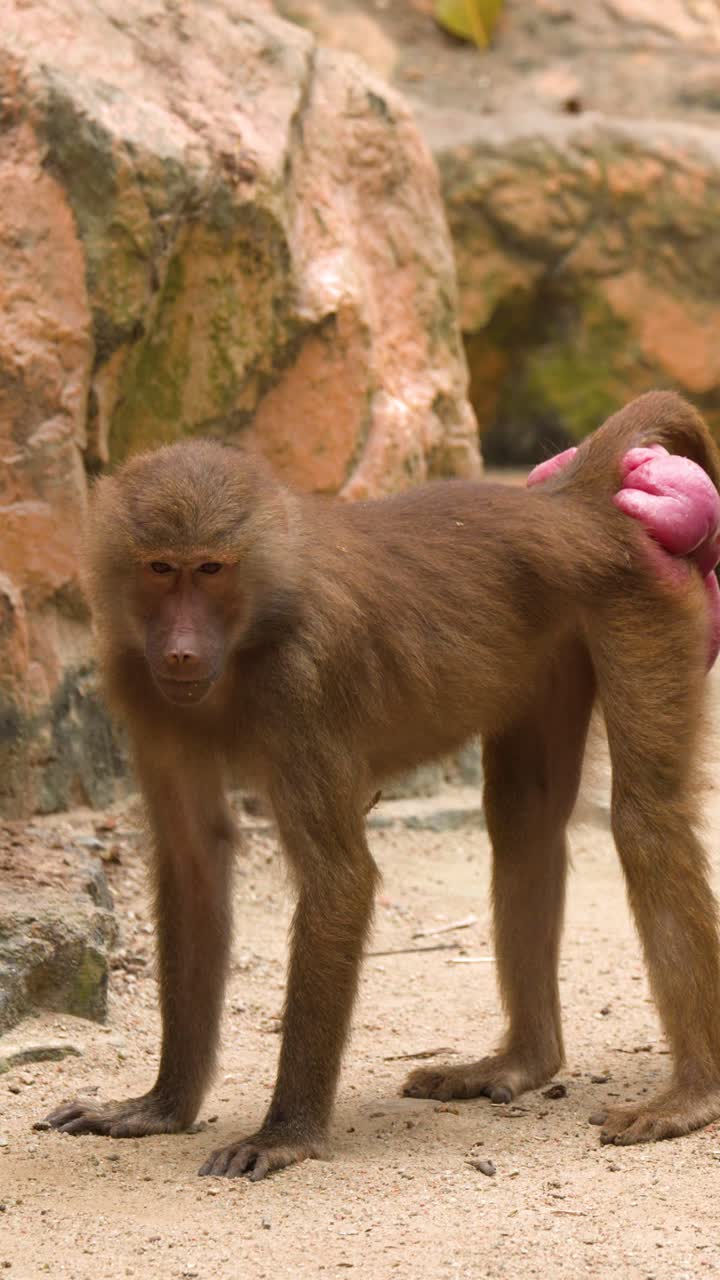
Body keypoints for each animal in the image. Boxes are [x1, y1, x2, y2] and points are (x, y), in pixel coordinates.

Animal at [44, 391, 720, 1179]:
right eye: (160, 568)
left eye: (210, 569)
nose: (180, 652)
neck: (254, 628)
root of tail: (570, 504)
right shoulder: (142, 687)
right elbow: (193, 864)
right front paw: (159, 1107)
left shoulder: (301, 685)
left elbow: (340, 880)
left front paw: (283, 1134)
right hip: (553, 646)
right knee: (523, 821)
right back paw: (521, 1061)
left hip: (639, 605)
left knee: (646, 821)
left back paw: (692, 1095)